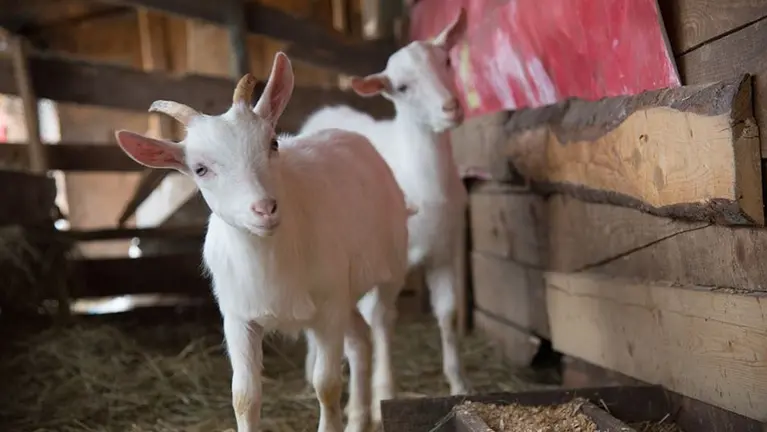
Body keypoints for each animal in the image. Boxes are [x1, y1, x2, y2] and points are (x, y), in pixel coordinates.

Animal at [115, 52, 412, 432]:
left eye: (273, 143)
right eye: (200, 169)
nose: (265, 208)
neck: (272, 257)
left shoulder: (328, 307)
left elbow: (327, 384)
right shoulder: (238, 317)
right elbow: (244, 397)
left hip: (388, 268)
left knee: (382, 324)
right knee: (360, 341)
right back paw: (358, 420)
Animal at [300, 8, 472, 422]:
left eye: (446, 61)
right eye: (403, 87)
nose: (451, 107)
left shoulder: (445, 251)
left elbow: (447, 314)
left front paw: (459, 383)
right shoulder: (392, 264)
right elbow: (383, 319)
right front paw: (383, 393)